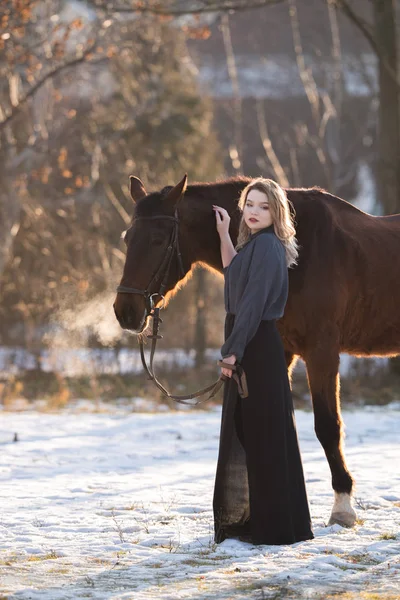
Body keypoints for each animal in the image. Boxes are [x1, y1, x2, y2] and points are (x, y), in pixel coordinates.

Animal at [112, 172, 400, 524]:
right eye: (128, 239)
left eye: (156, 240)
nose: (125, 311)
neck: (299, 253)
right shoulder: (284, 352)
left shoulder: (322, 352)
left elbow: (327, 426)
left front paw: (342, 508)